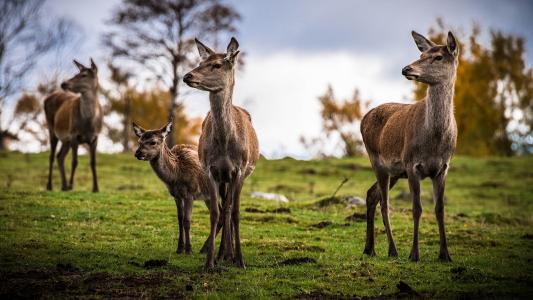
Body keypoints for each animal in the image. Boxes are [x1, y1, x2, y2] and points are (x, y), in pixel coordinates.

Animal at [44, 58, 102, 192]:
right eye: (76, 74)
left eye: (84, 75)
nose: (64, 83)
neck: (88, 123)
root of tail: (46, 98)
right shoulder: (74, 135)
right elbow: (74, 161)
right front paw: (71, 185)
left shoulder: (95, 137)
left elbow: (93, 162)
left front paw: (95, 188)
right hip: (52, 129)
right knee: (51, 156)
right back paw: (50, 185)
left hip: (66, 140)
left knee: (60, 156)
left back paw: (63, 186)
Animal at [132, 120, 215, 254]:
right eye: (139, 141)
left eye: (153, 142)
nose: (138, 153)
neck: (175, 176)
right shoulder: (176, 195)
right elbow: (180, 219)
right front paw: (179, 248)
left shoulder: (190, 193)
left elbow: (187, 220)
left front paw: (189, 250)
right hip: (207, 196)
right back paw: (204, 248)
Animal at [183, 37, 260, 270]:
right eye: (200, 62)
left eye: (217, 64)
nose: (187, 76)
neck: (226, 145)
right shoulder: (211, 169)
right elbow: (215, 213)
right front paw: (209, 263)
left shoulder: (240, 169)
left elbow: (235, 212)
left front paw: (241, 260)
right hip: (223, 177)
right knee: (223, 208)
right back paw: (222, 254)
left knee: (228, 208)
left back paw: (230, 254)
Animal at [360, 31, 460, 262]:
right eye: (421, 54)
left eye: (438, 57)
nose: (406, 69)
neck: (435, 140)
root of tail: (363, 118)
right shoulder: (412, 164)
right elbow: (417, 208)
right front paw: (414, 254)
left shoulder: (443, 168)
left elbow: (440, 209)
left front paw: (445, 254)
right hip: (377, 160)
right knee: (384, 203)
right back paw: (393, 249)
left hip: (395, 172)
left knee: (372, 194)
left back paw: (370, 248)